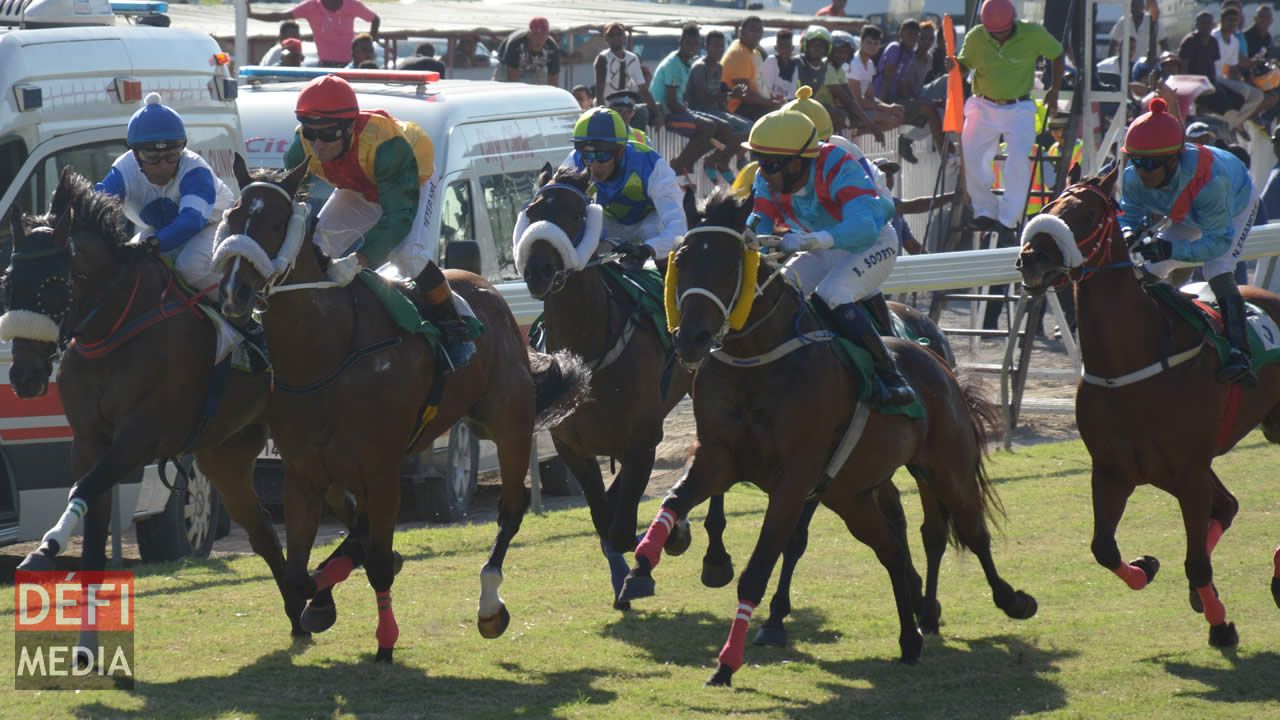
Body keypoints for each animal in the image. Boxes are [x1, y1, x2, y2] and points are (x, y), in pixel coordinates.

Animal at [1, 170, 302, 653]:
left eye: (55, 286)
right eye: (9, 283)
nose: (25, 376)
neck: (113, 331)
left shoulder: (140, 437)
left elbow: (83, 489)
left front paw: (43, 549)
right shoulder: (89, 443)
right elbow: (91, 527)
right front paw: (86, 645)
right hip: (226, 455)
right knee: (261, 528)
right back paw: (300, 610)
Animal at [217, 162, 591, 661]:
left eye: (277, 225)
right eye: (233, 217)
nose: (234, 291)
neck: (328, 353)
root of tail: (489, 292)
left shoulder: (381, 470)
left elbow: (375, 563)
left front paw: (385, 639)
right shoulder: (304, 472)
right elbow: (300, 572)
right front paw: (321, 604)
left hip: (509, 424)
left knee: (511, 511)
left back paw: (490, 606)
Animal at [519, 165, 701, 607]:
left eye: (576, 215)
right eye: (532, 211)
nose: (537, 271)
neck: (589, 353)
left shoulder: (644, 441)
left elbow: (620, 528)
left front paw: (663, 546)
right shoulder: (573, 449)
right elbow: (604, 521)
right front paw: (628, 574)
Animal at [614, 189, 1034, 681]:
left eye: (729, 263)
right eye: (681, 260)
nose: (691, 339)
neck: (757, 360)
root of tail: (938, 363)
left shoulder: (793, 481)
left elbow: (760, 567)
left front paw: (729, 660)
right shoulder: (718, 457)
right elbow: (672, 501)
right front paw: (640, 567)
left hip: (946, 468)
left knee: (969, 530)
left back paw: (1008, 601)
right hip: (850, 495)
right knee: (892, 547)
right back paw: (910, 637)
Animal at [1018, 167, 1280, 645]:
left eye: (1087, 214)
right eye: (1047, 205)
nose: (1031, 258)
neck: (1130, 362)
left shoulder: (1189, 473)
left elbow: (1196, 562)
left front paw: (1220, 626)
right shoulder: (1114, 471)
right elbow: (1103, 549)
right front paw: (1147, 567)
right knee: (1227, 506)